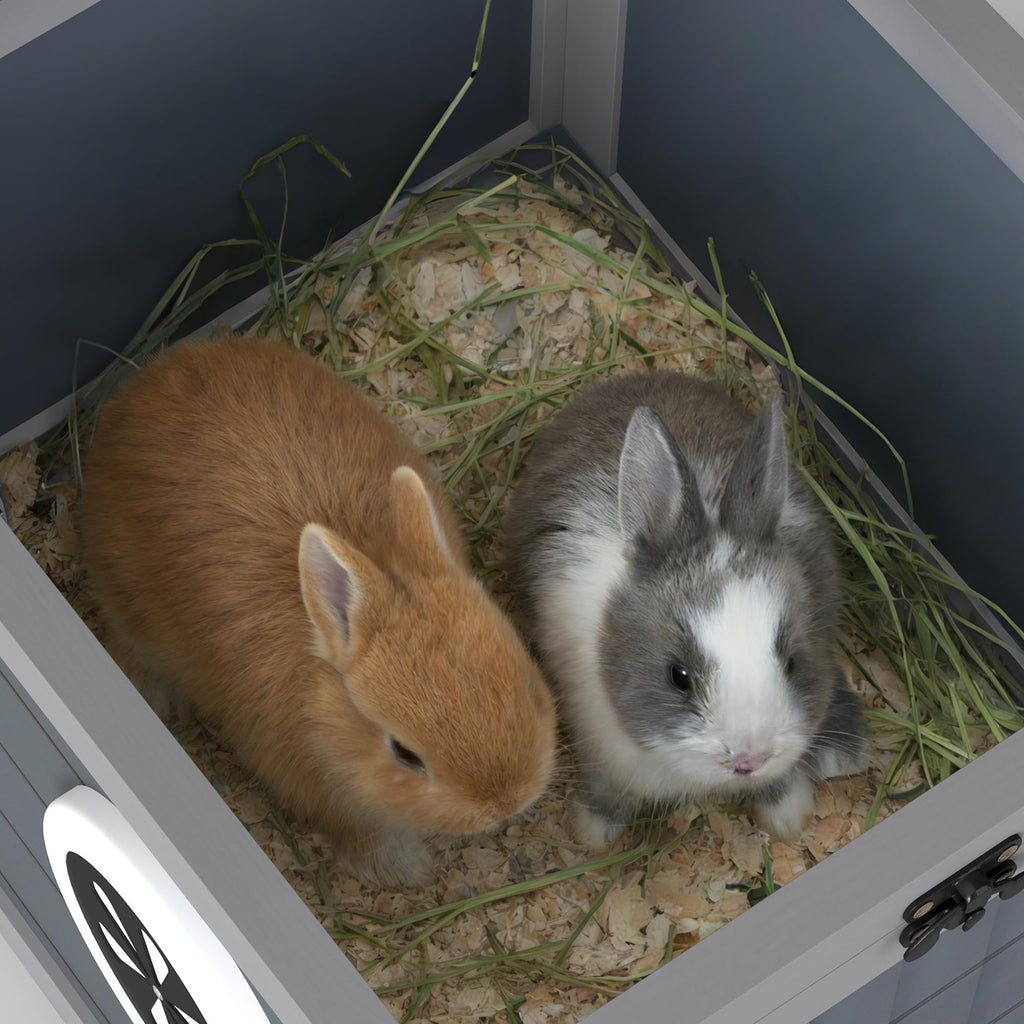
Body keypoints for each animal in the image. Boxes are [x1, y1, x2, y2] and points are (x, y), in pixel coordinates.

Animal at [79, 335, 556, 886]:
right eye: (406, 755)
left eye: (529, 686)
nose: (508, 803)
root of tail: (146, 378)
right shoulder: (312, 787)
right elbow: (357, 834)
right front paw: (405, 870)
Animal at [504, 370, 867, 847]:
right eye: (678, 676)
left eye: (791, 663)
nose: (749, 759)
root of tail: (643, 375)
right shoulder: (595, 739)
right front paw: (594, 831)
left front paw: (787, 816)